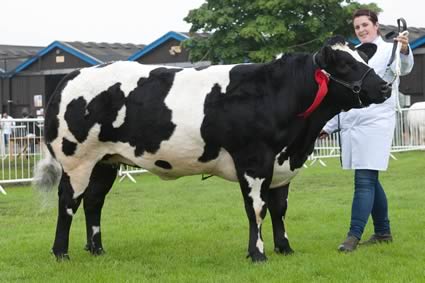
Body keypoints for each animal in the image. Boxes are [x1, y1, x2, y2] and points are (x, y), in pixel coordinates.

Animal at [34, 36, 390, 264]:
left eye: (364, 59)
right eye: (344, 65)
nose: (385, 86)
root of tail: (73, 75)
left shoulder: (281, 164)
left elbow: (279, 209)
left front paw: (285, 248)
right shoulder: (254, 161)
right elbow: (256, 209)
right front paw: (258, 253)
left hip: (106, 161)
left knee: (94, 202)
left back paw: (97, 250)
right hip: (77, 159)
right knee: (68, 202)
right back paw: (61, 253)